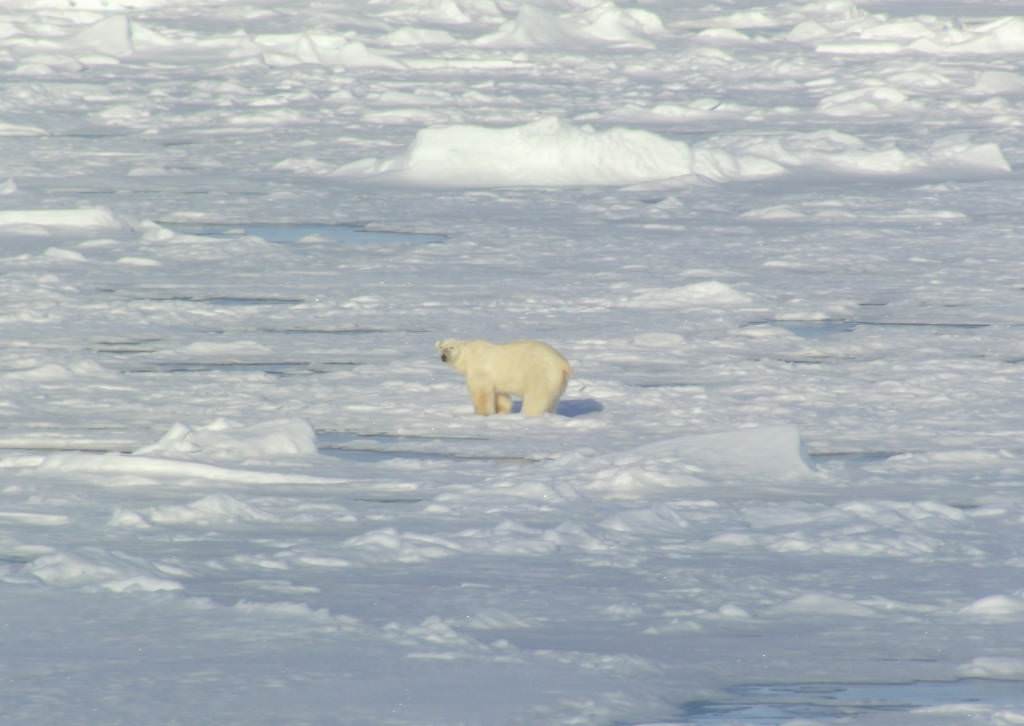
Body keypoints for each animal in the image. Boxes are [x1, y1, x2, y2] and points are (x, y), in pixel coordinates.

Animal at [436, 337, 573, 415]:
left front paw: (482, 413)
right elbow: (501, 396)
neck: (469, 357)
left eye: (451, 347)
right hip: (558, 382)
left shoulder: (480, 371)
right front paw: (501, 412)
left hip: (541, 374)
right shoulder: (496, 381)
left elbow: (481, 394)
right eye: (441, 347)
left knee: (536, 399)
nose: (443, 357)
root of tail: (563, 363)